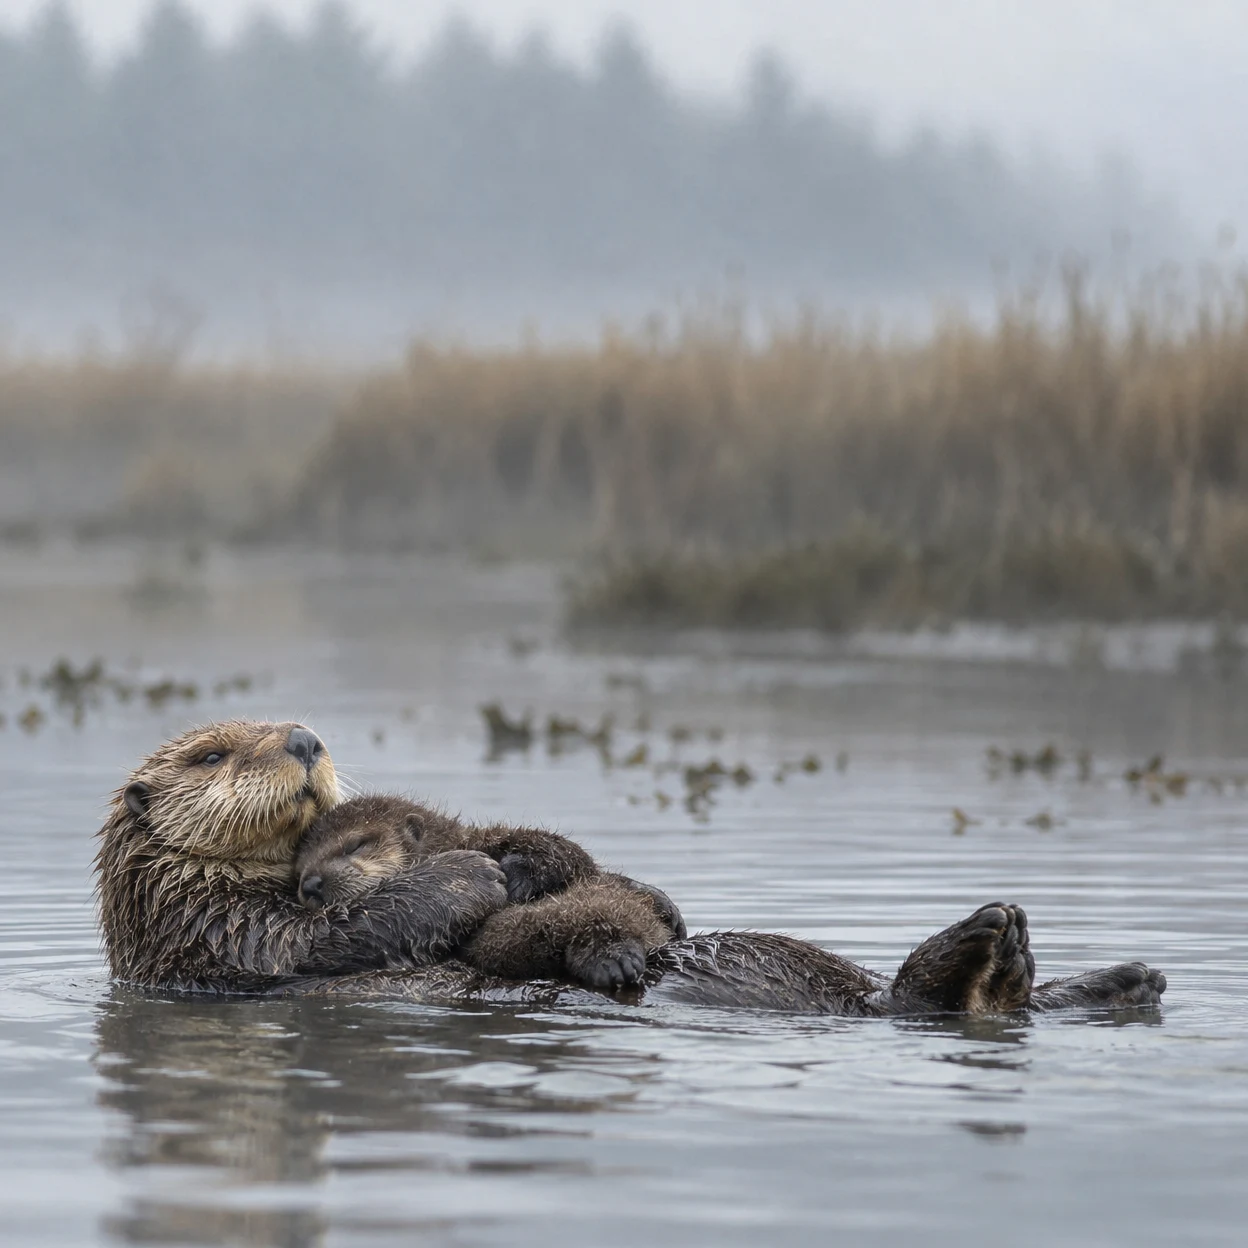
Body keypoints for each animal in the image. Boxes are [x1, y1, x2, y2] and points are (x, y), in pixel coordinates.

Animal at [294, 794, 683, 987]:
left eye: (355, 845)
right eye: (298, 871)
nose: (310, 883)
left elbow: (567, 852)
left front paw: (515, 876)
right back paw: (612, 960)